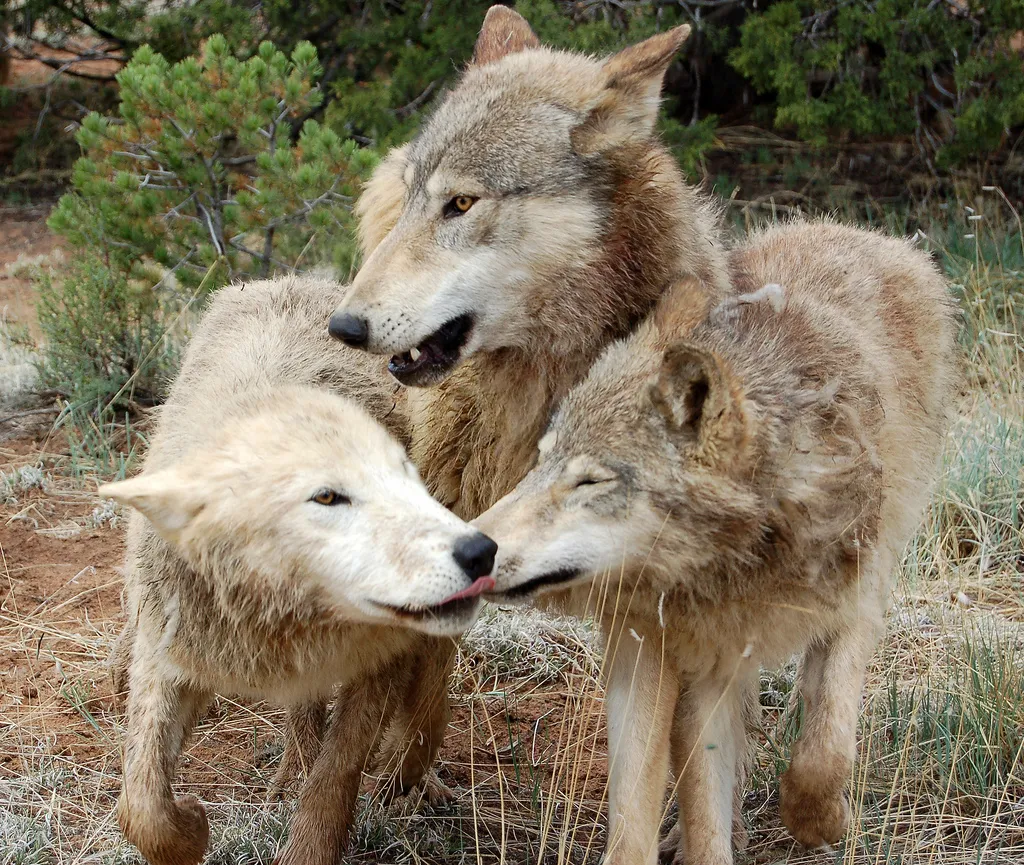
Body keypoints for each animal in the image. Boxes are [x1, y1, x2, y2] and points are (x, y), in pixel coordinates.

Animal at [101, 274, 498, 865]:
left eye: (405, 480)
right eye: (328, 497)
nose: (480, 552)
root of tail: (291, 279)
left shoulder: (379, 664)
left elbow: (337, 774)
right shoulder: (172, 657)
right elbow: (142, 804)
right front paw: (191, 826)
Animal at [474, 222, 958, 865]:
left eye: (591, 481)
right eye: (541, 462)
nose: (472, 547)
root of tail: (849, 228)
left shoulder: (855, 605)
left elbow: (822, 753)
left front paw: (821, 822)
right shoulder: (679, 655)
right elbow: (670, 808)